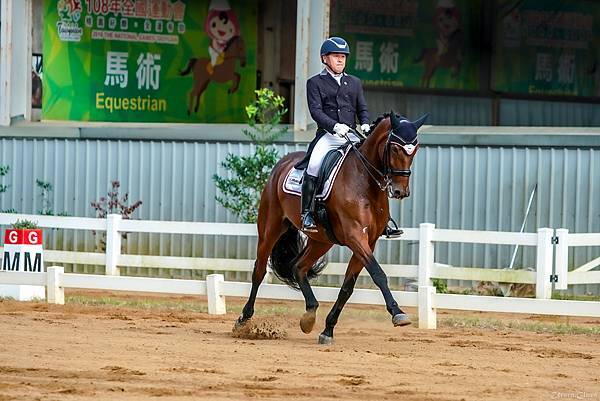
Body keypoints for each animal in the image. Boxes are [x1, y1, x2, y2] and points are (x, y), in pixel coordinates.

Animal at [234, 112, 426, 344]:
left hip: (321, 240)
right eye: (396, 148)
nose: (400, 191)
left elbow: (347, 287)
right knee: (259, 271)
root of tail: (282, 163)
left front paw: (328, 330)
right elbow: (378, 274)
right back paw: (243, 319)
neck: (365, 182)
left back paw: (309, 314)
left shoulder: (368, 241)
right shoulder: (355, 237)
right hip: (270, 229)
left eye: (415, 149)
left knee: (298, 267)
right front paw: (398, 313)